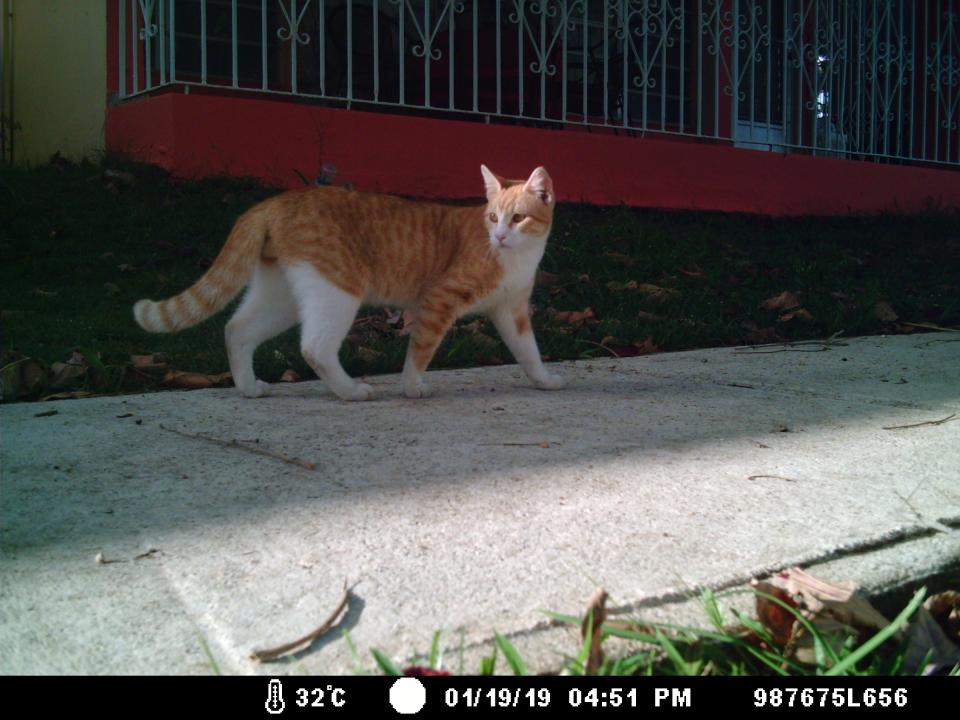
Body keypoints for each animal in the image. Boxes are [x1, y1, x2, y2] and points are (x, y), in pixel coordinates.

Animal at [136, 165, 568, 400]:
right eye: (493, 217)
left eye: (517, 218)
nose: (499, 236)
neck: (515, 257)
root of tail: (275, 201)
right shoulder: (438, 301)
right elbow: (420, 351)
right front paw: (412, 387)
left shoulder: (511, 311)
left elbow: (528, 351)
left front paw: (544, 380)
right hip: (338, 292)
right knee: (314, 347)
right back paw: (350, 391)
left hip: (282, 297)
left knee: (236, 330)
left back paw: (248, 387)